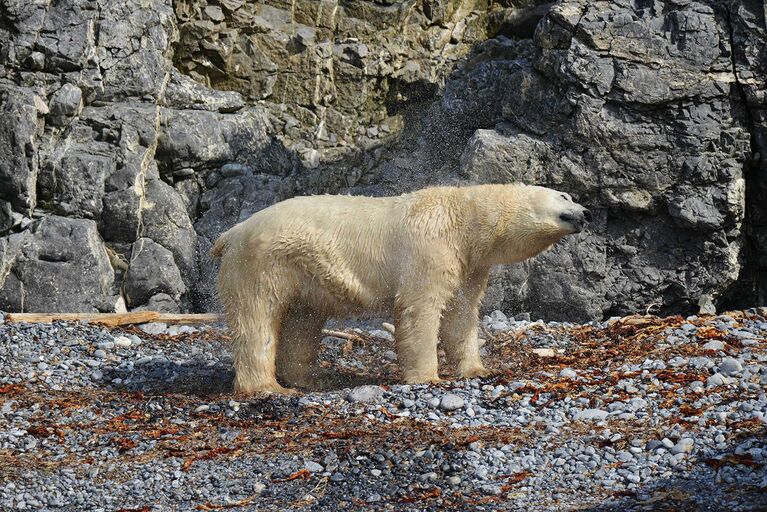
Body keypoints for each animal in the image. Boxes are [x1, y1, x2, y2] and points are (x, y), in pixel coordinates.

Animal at [213, 186, 592, 394]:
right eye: (564, 195)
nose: (586, 212)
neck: (462, 217)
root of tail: (231, 233)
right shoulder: (430, 248)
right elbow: (420, 309)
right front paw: (427, 376)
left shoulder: (468, 265)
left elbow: (461, 315)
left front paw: (476, 369)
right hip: (264, 262)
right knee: (257, 318)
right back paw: (266, 386)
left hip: (305, 273)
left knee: (303, 322)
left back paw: (308, 378)